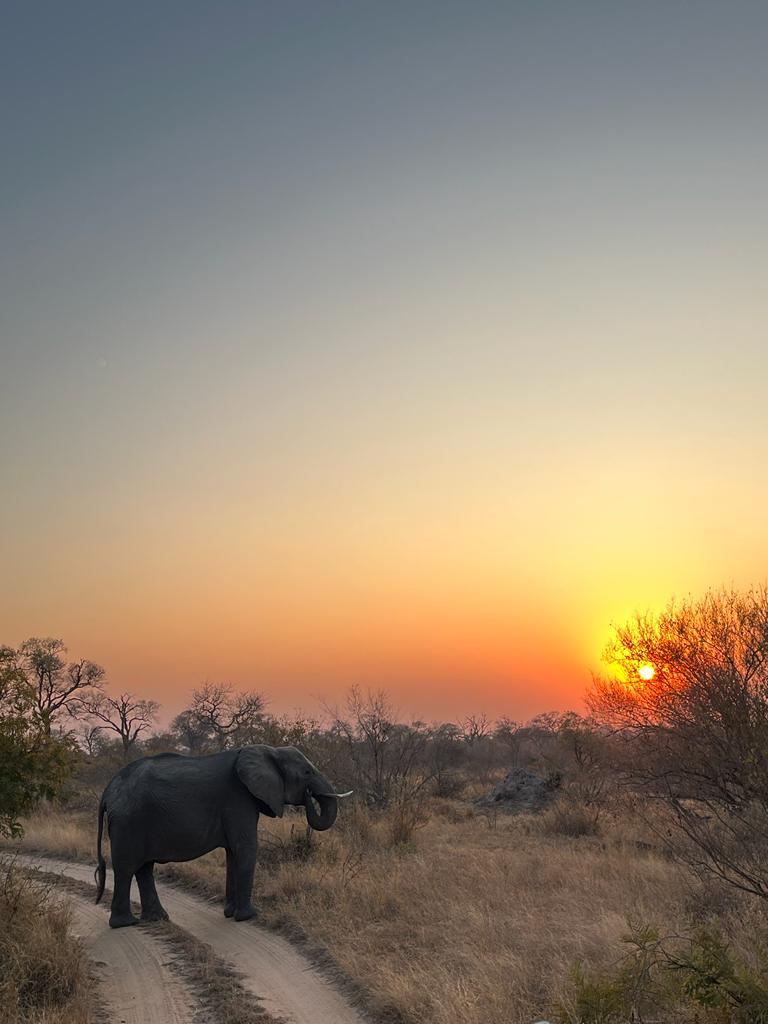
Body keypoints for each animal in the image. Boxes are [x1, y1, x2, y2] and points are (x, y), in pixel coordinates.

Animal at [94, 744, 351, 928]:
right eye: (307, 772)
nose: (309, 795)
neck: (268, 750)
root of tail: (107, 792)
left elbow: (233, 853)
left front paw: (229, 913)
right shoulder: (238, 798)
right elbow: (245, 848)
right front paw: (249, 916)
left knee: (143, 867)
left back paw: (157, 919)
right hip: (129, 822)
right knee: (126, 868)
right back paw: (125, 924)